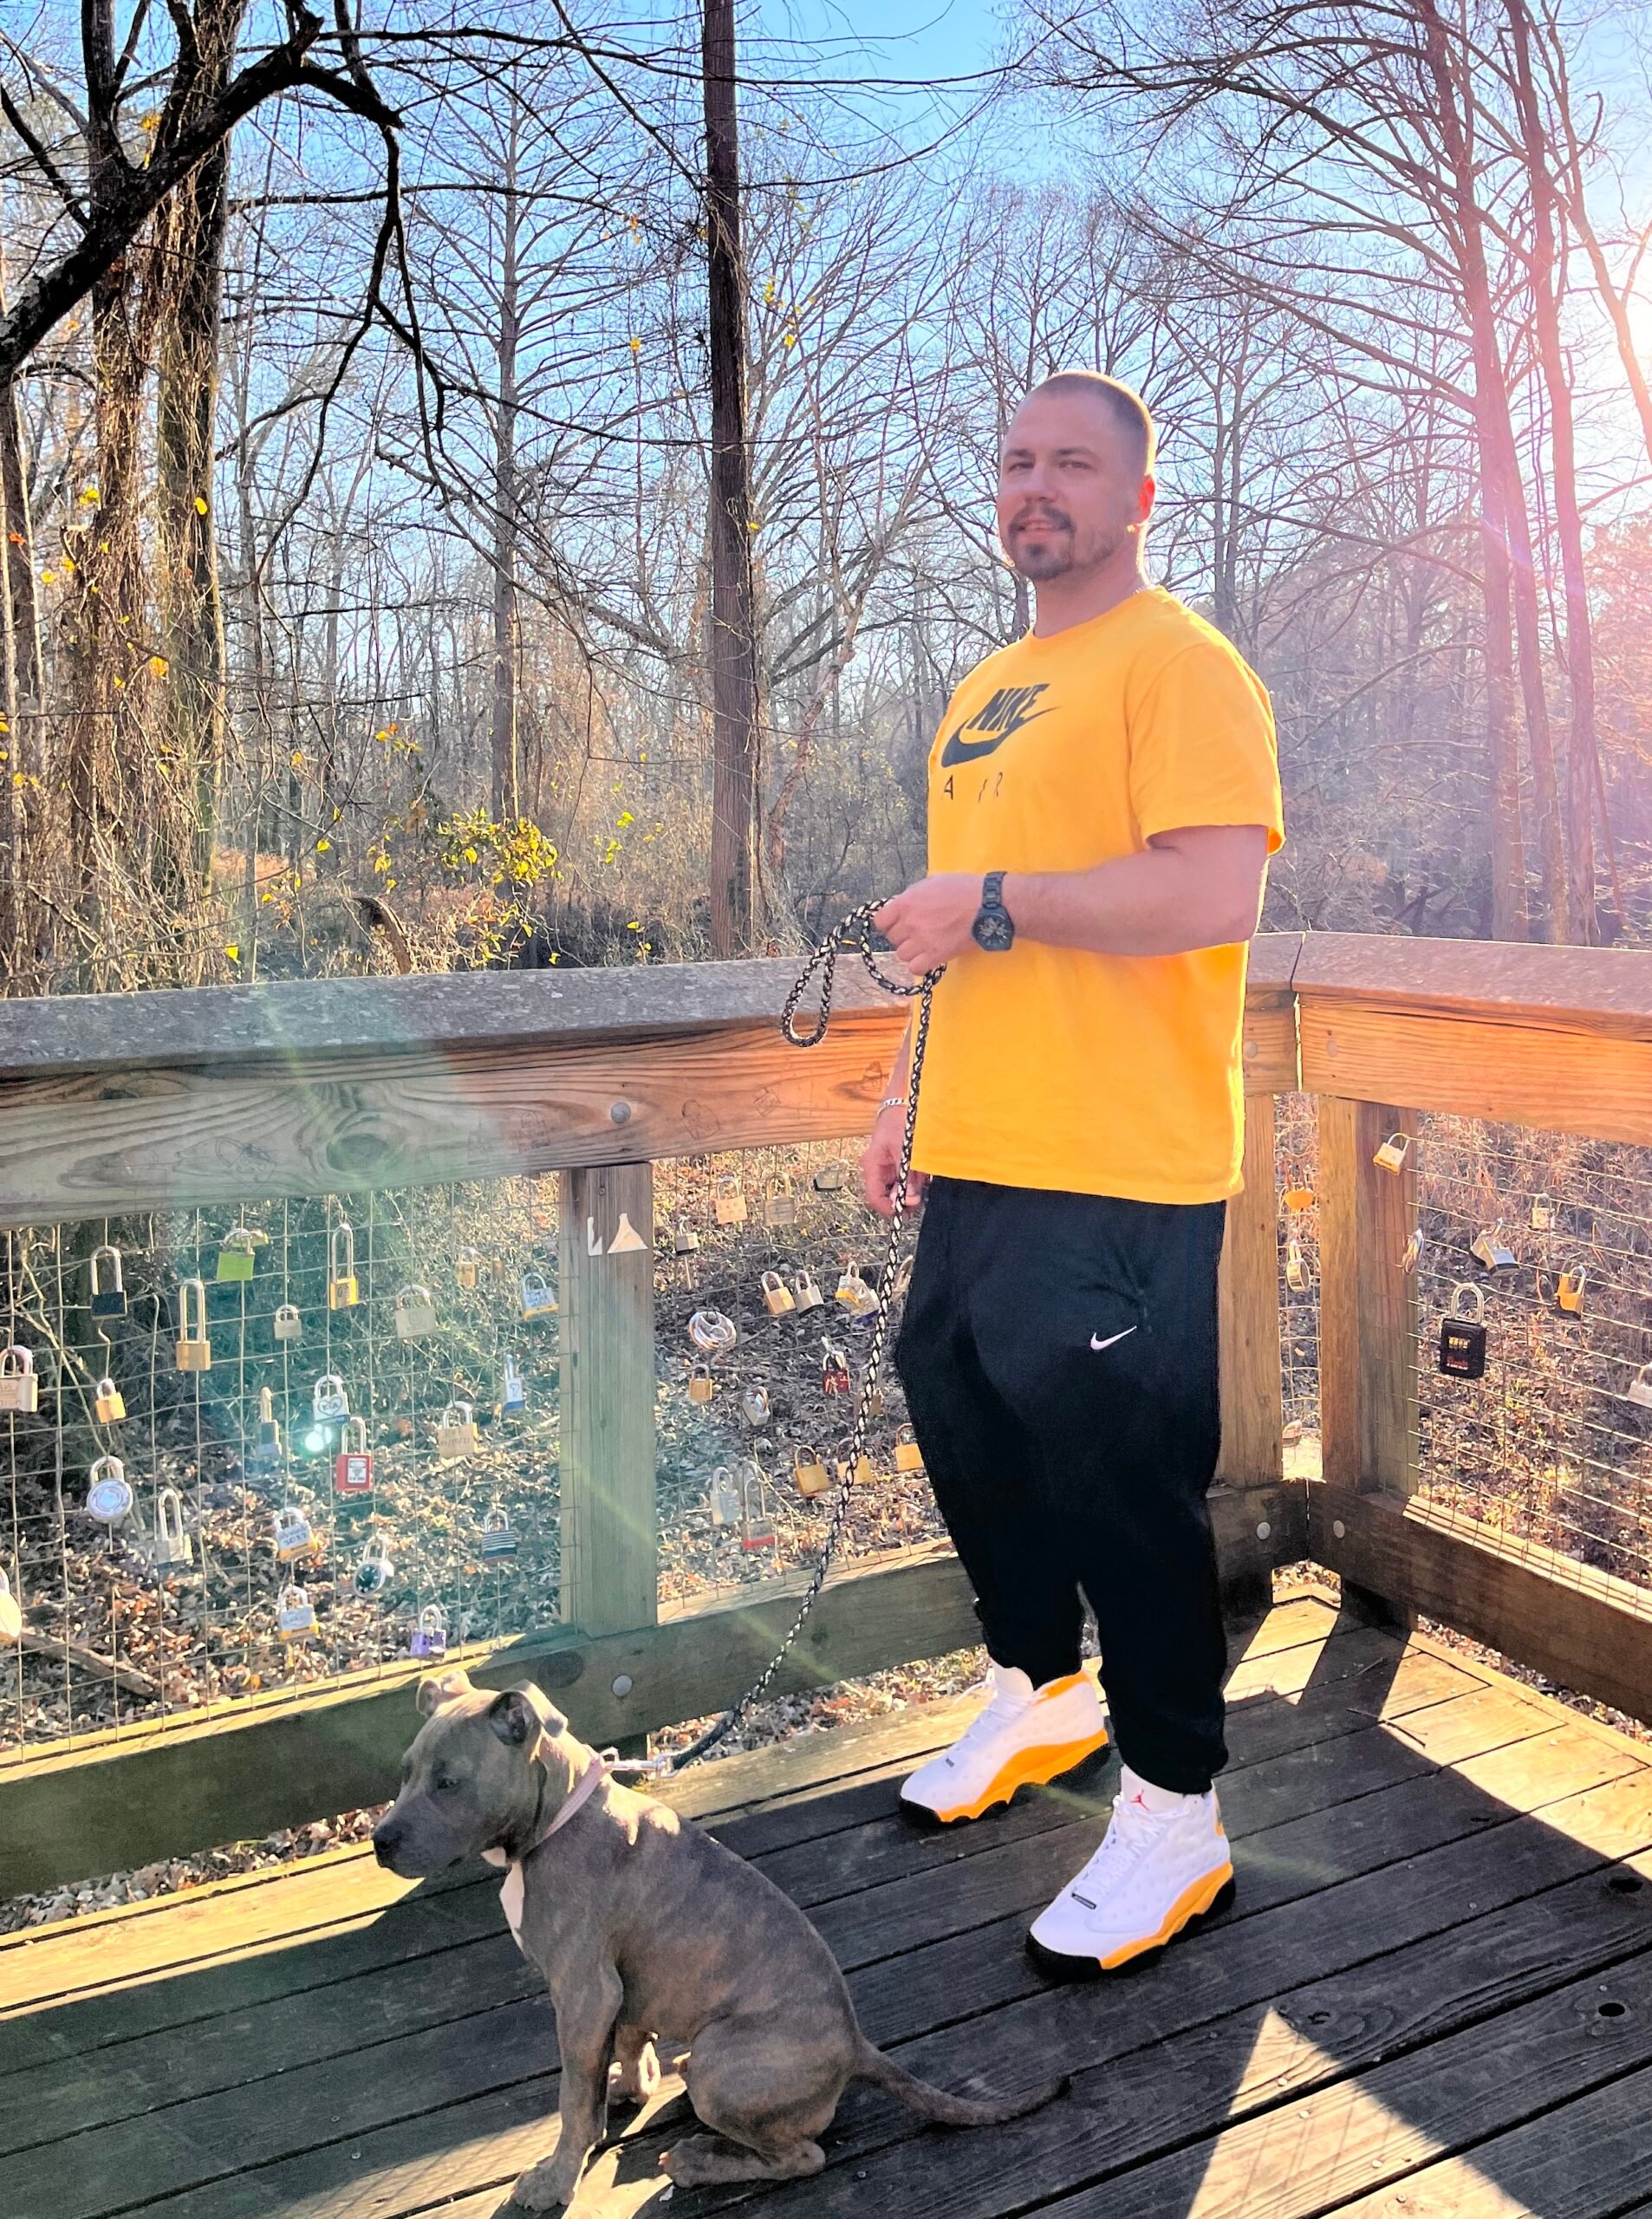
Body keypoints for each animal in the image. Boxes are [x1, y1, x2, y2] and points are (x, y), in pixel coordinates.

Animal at [372, 1669, 1064, 2209]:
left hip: (723, 2065)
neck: (556, 1819)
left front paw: (555, 2180)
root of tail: (856, 2047)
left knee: (802, 2156)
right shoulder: (618, 1991)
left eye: (449, 1782)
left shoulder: (583, 1992)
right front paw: (630, 2086)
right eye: (403, 1774)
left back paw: (699, 2162)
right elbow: (625, 2045)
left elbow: (572, 2100)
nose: (380, 1842)